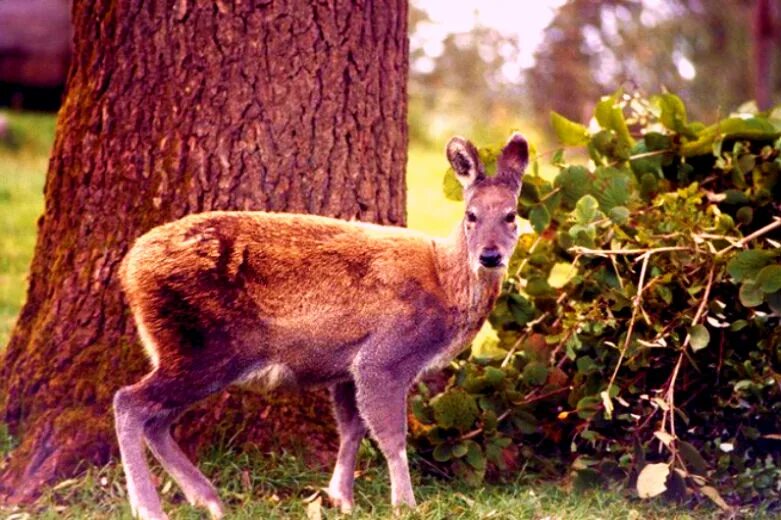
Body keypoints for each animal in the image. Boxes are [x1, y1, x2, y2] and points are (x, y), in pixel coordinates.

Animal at [114, 134, 532, 520]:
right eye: (471, 215)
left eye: (511, 215)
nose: (490, 255)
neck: (444, 284)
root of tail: (129, 270)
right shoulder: (386, 353)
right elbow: (391, 435)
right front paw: (405, 504)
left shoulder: (349, 365)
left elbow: (352, 428)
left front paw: (341, 499)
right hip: (201, 346)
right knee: (129, 402)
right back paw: (151, 508)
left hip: (195, 352)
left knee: (156, 420)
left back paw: (208, 500)